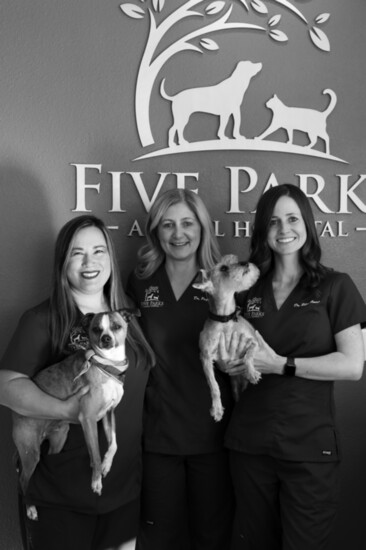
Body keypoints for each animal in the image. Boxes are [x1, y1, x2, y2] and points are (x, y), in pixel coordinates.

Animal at [12, 310, 139, 516]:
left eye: (116, 326)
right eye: (96, 329)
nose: (105, 339)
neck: (107, 364)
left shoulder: (108, 414)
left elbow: (114, 444)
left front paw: (106, 465)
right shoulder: (88, 419)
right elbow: (95, 454)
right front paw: (96, 480)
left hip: (58, 439)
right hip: (30, 452)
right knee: (23, 481)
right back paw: (30, 507)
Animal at [194, 258, 260, 422]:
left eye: (235, 261)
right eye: (223, 268)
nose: (245, 262)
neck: (225, 322)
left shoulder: (254, 342)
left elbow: (248, 356)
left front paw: (252, 373)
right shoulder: (205, 357)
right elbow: (214, 386)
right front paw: (217, 409)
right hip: (235, 389)